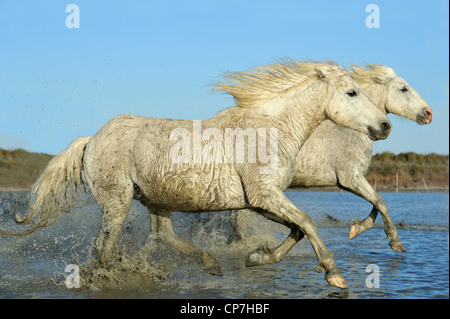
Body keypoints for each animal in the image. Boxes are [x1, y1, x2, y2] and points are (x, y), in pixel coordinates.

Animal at [0, 60, 392, 290]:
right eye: (351, 92)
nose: (384, 126)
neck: (270, 129)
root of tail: (92, 138)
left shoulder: (262, 200)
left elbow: (297, 229)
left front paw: (257, 258)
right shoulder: (265, 195)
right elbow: (308, 223)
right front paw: (334, 274)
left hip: (156, 200)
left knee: (162, 236)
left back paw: (208, 265)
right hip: (117, 202)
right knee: (103, 249)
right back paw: (124, 276)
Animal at [229, 64, 432, 268]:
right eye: (404, 89)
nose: (429, 114)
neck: (351, 130)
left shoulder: (350, 182)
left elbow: (376, 203)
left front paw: (356, 228)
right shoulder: (351, 178)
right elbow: (380, 202)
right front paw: (395, 242)